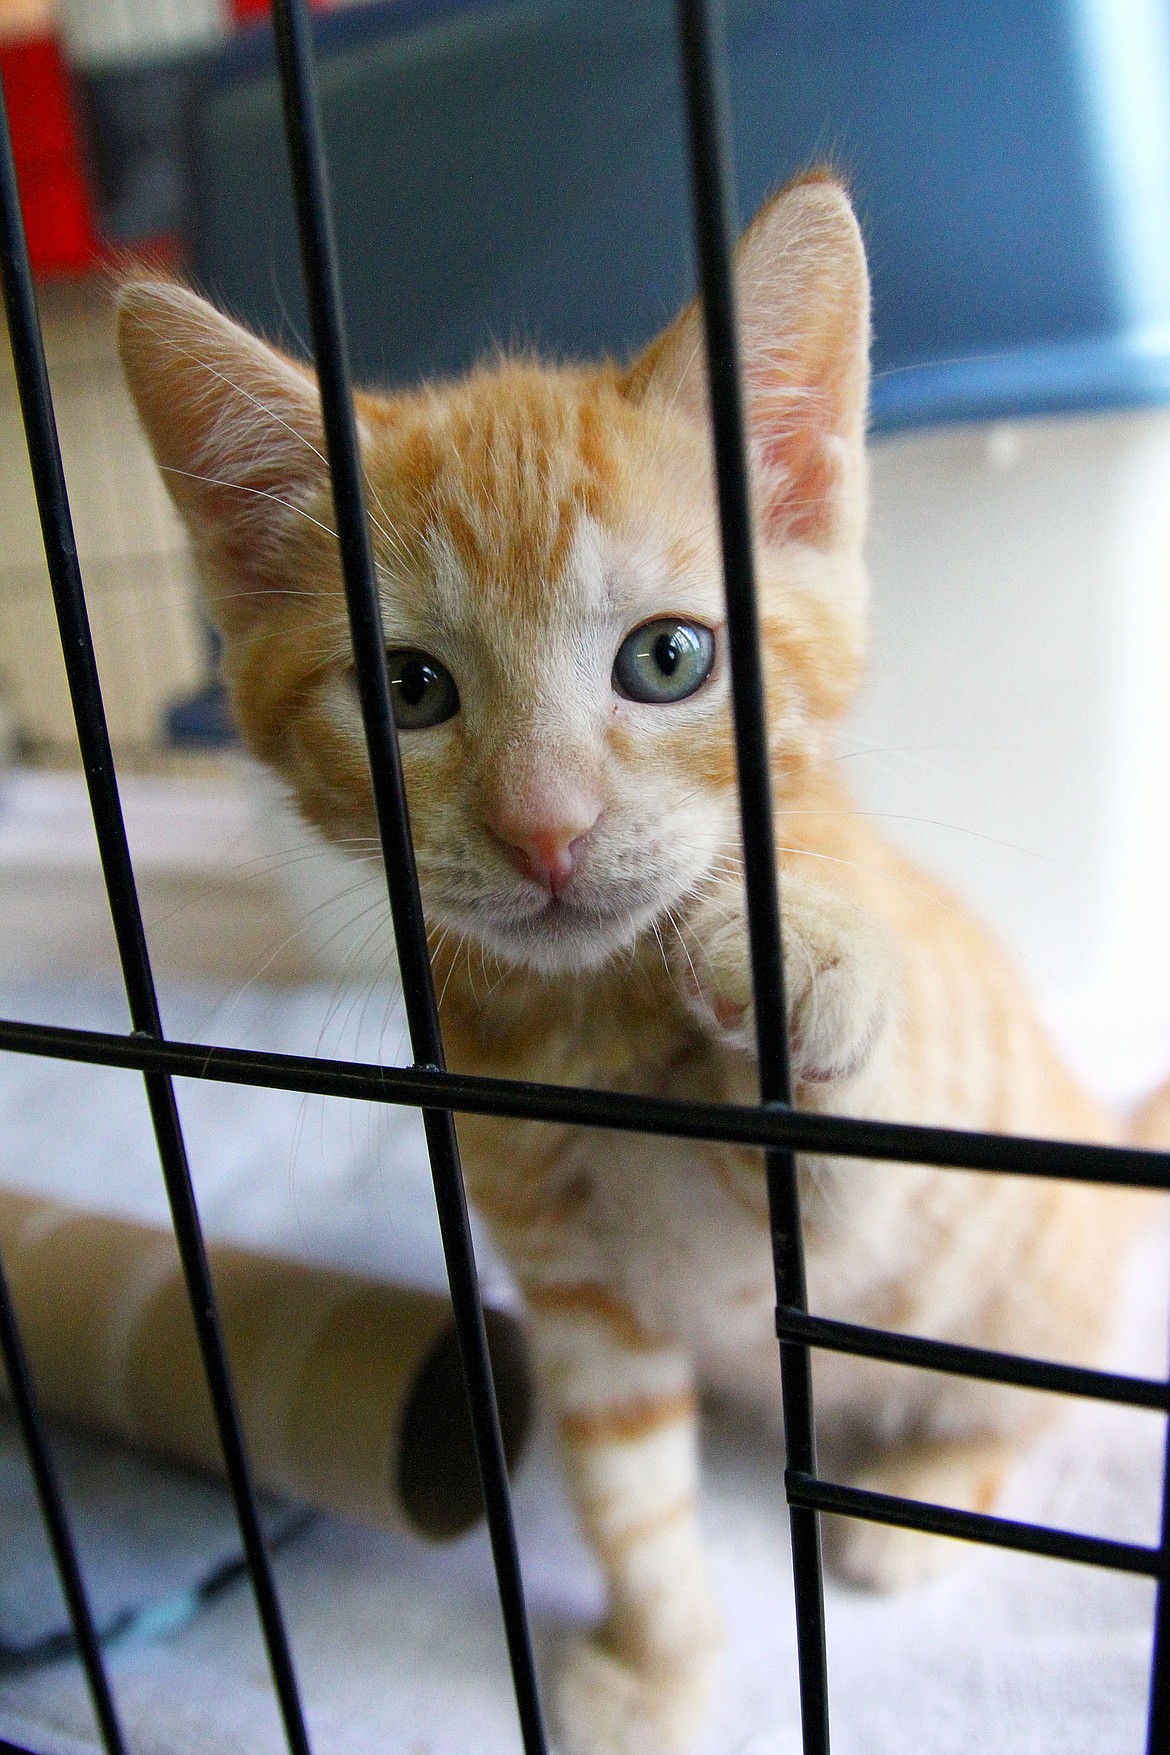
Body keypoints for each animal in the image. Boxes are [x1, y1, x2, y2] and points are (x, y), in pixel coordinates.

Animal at [116, 174, 1143, 1755]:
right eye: (407, 688)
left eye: (668, 659)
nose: (546, 826)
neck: (590, 1030)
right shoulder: (587, 1305)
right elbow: (628, 1496)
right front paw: (657, 1668)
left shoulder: (861, 1216)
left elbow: (863, 1126)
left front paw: (798, 945)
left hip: (1025, 1286)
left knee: (1020, 1405)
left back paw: (916, 1499)